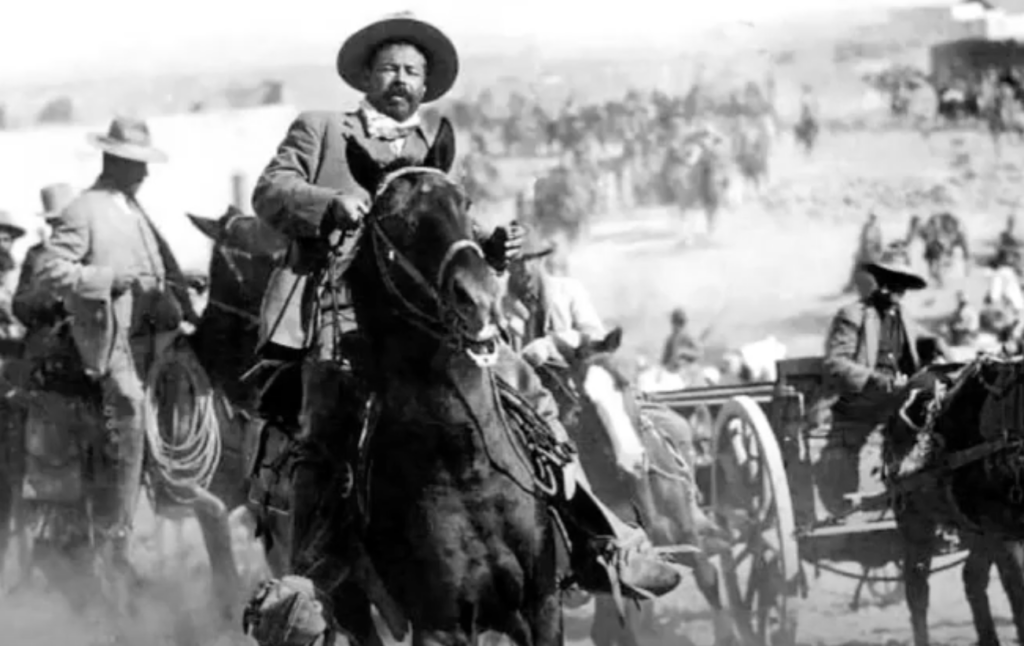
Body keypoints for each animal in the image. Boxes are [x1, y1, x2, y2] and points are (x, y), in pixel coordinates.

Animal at [319, 118, 565, 642]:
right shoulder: (440, 625)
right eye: (391, 221)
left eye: (464, 203)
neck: (467, 466)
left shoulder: (542, 603)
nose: (479, 298)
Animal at [884, 358, 1024, 646]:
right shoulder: (1003, 533)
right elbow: (1018, 592)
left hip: (976, 530)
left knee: (972, 577)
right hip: (915, 521)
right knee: (917, 587)